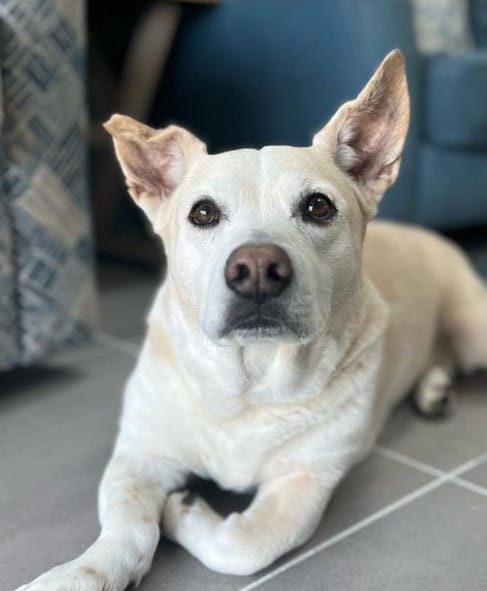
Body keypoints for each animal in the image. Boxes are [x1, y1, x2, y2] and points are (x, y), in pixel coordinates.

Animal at [16, 51, 487, 591]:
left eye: (318, 206)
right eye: (202, 213)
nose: (257, 269)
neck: (249, 382)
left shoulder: (308, 479)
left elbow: (243, 545)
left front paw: (183, 511)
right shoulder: (140, 454)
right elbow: (126, 527)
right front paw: (80, 573)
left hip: (473, 327)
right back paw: (434, 389)